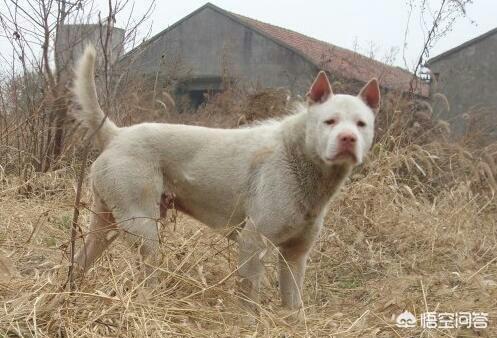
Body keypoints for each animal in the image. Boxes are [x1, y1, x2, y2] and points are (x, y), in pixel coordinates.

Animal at [70, 45, 380, 314]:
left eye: (361, 124)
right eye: (330, 121)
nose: (348, 138)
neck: (297, 154)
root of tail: (116, 134)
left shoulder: (295, 256)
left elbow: (294, 305)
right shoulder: (252, 242)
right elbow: (249, 300)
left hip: (105, 225)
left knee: (78, 260)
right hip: (143, 230)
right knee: (147, 278)